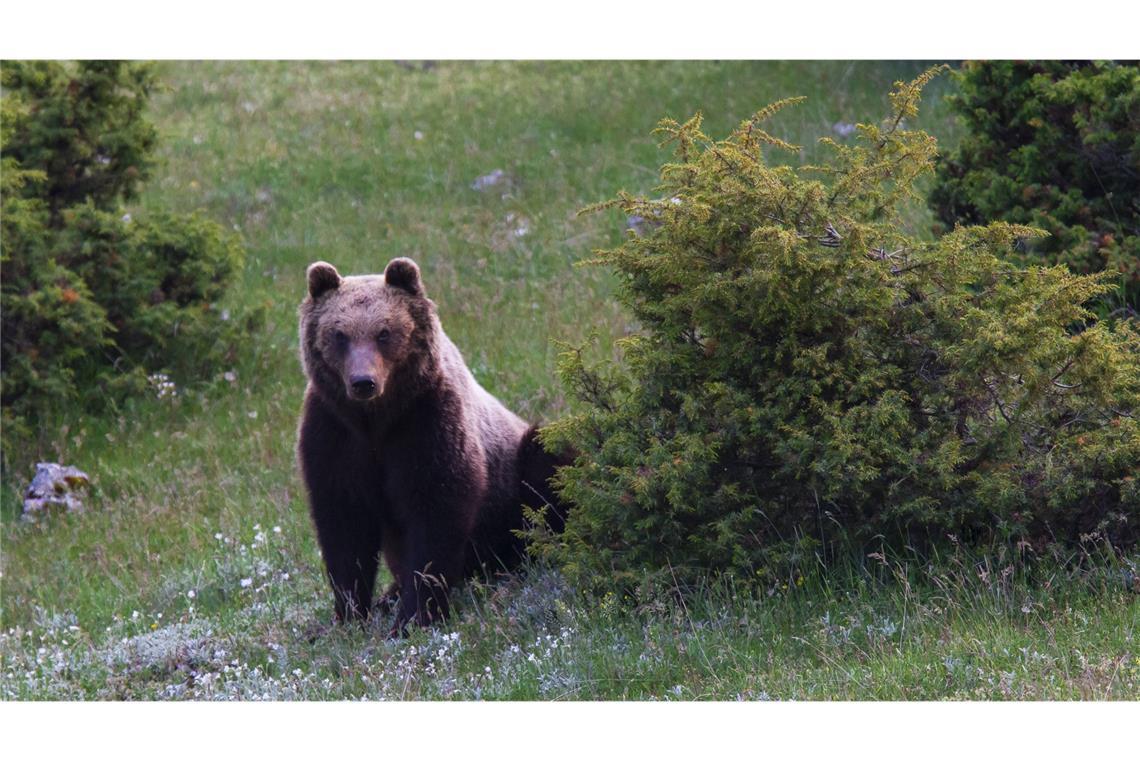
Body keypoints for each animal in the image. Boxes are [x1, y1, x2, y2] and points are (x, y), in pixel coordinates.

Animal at [296, 258, 567, 638]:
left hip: (515, 481)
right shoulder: (335, 433)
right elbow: (344, 524)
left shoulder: (426, 422)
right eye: (340, 334)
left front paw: (414, 617)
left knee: (548, 462)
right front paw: (348, 616)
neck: (376, 420)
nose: (363, 382)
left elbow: (435, 511)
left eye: (384, 332)